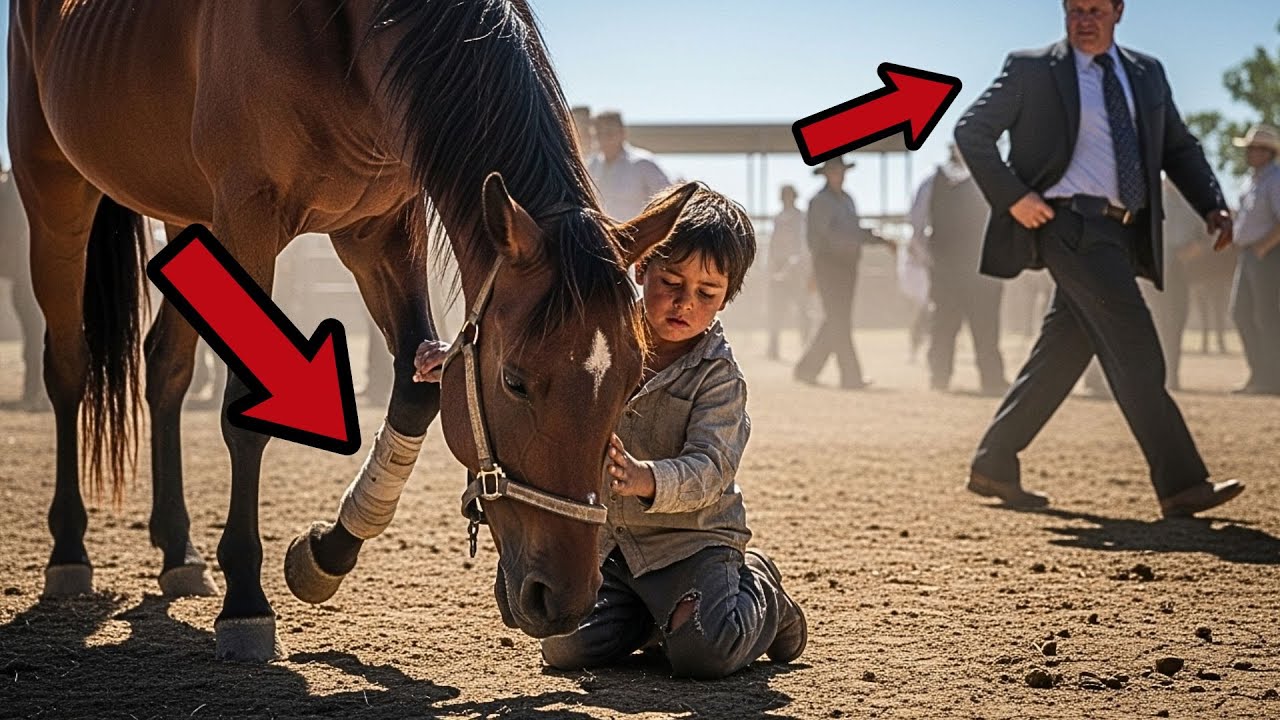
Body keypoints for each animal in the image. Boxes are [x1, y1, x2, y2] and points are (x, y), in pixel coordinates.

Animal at [10, 0, 694, 660]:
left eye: (629, 384)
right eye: (515, 381)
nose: (565, 599)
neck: (343, 27)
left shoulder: (381, 229)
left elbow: (417, 391)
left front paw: (326, 554)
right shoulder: (247, 218)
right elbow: (243, 413)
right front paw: (246, 603)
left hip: (190, 226)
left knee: (165, 371)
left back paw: (178, 551)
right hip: (56, 195)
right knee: (67, 366)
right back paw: (69, 549)